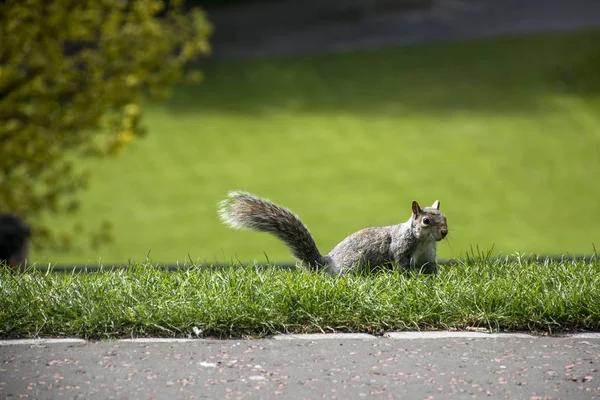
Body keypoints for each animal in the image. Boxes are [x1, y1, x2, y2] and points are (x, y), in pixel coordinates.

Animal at [218, 191, 448, 276]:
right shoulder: (400, 249)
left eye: (445, 217)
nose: (444, 232)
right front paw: (409, 279)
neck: (423, 241)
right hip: (356, 262)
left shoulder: (428, 256)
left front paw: (434, 280)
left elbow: (431, 269)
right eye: (426, 221)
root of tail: (327, 263)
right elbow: (402, 266)